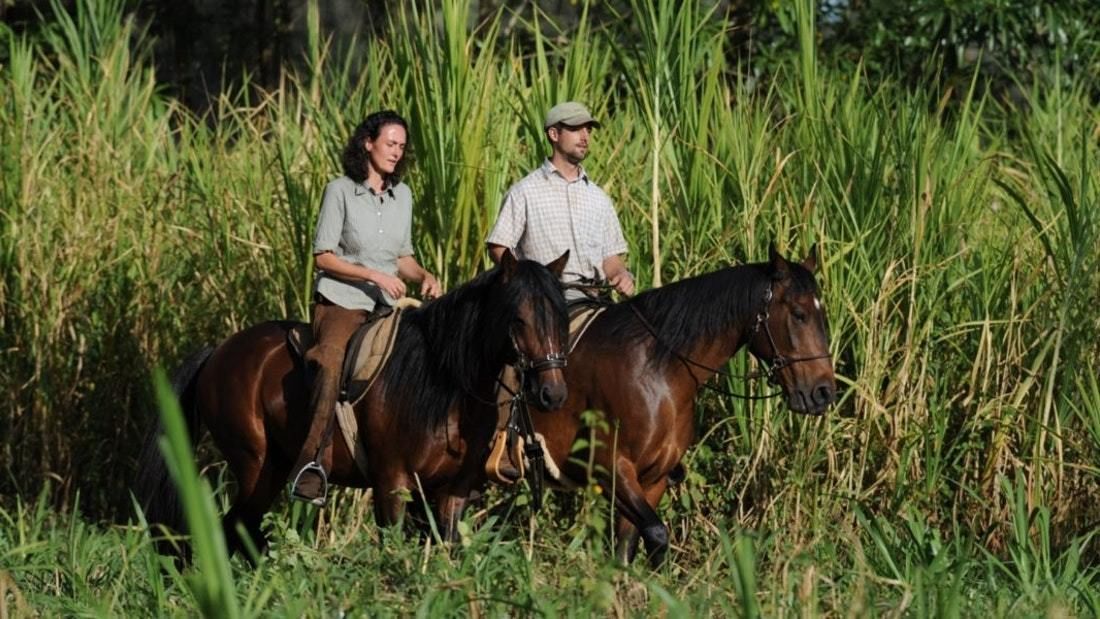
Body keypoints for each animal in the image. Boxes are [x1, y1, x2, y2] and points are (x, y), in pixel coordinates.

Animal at [133, 250, 572, 556]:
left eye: (561, 317)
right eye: (518, 318)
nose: (552, 393)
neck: (442, 383)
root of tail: (218, 352)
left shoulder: (453, 492)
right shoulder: (392, 484)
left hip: (273, 467)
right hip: (255, 464)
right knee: (236, 530)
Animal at [528, 245, 827, 567]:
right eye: (799, 314)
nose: (824, 392)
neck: (656, 372)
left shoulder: (653, 477)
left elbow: (629, 547)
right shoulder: (610, 469)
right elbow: (657, 534)